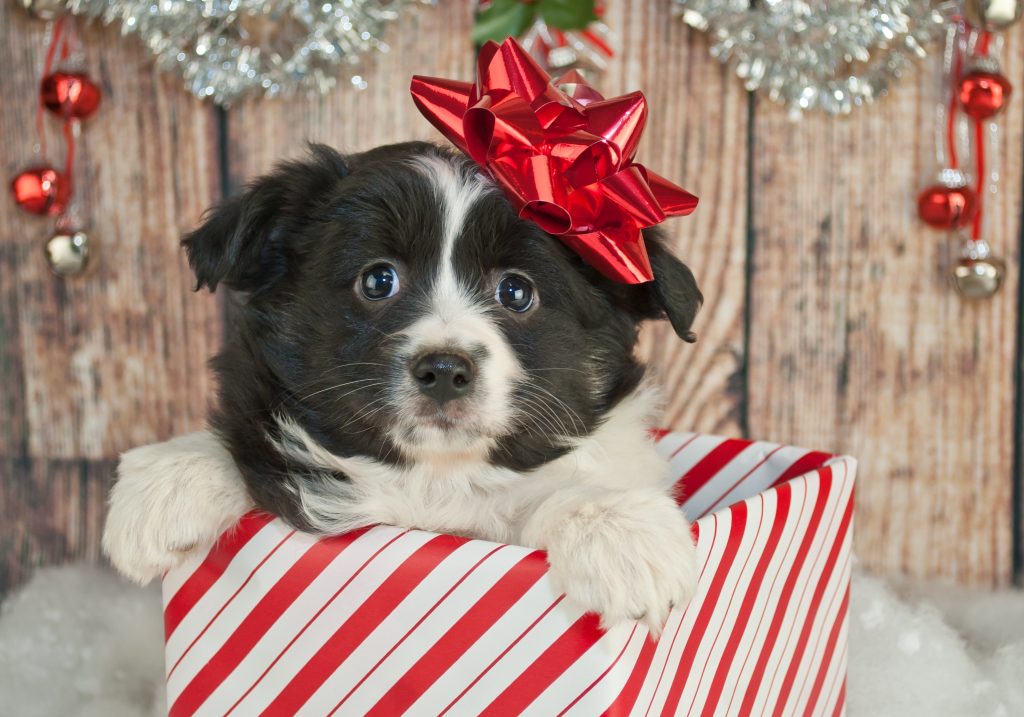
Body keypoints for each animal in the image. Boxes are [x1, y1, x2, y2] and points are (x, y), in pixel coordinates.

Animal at [105, 141, 704, 630]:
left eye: (516, 292)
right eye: (378, 280)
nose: (444, 370)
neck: (436, 480)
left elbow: (559, 490)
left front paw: (618, 531)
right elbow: (250, 446)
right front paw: (169, 482)